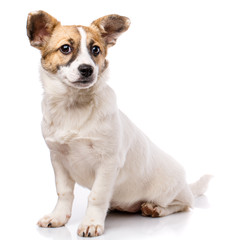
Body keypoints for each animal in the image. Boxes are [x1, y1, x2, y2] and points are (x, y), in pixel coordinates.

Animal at [26, 10, 212, 236]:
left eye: (96, 49)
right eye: (65, 48)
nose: (87, 69)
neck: (74, 106)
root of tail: (186, 185)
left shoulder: (107, 162)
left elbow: (96, 196)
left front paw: (91, 223)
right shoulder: (58, 159)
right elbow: (64, 193)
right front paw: (58, 217)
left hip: (168, 193)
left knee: (185, 204)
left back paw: (155, 208)